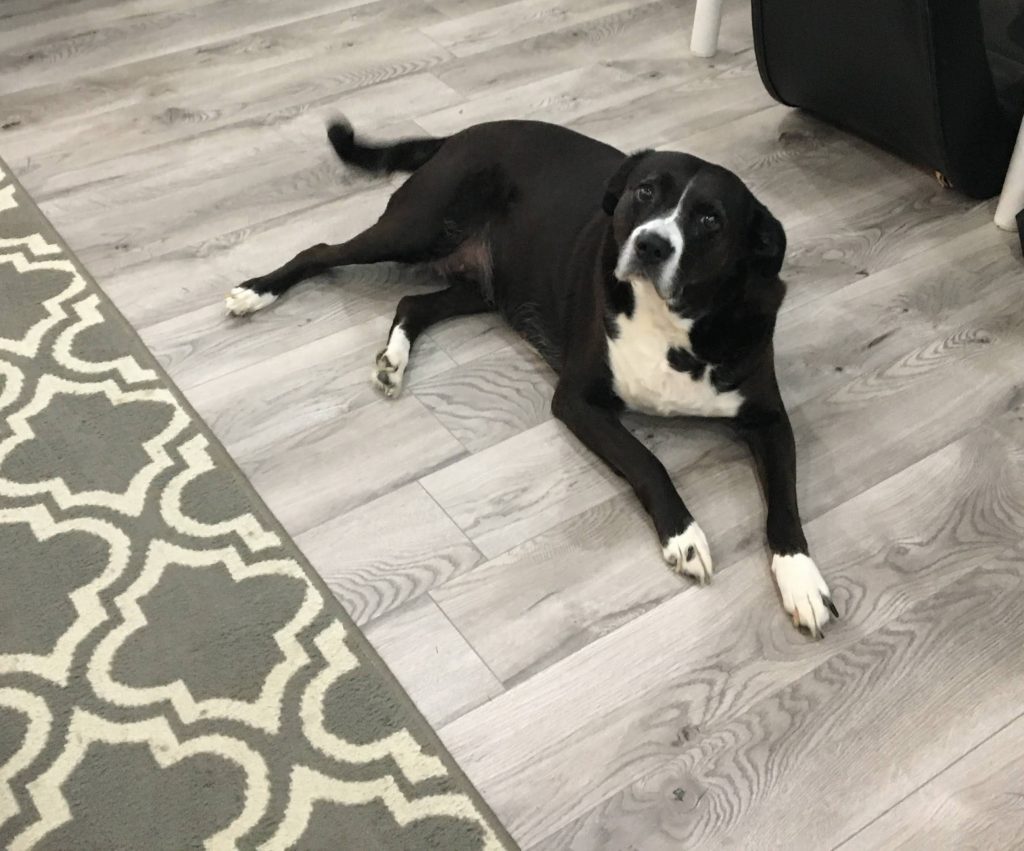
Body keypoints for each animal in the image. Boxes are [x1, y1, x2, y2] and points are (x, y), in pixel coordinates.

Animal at [230, 119, 839, 639]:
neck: (675, 323)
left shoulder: (768, 417)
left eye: (711, 219)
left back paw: (394, 359)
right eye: (645, 192)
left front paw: (801, 578)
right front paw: (684, 536)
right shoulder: (577, 400)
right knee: (322, 251)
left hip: (485, 285)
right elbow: (649, 462)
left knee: (412, 303)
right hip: (414, 229)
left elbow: (785, 501)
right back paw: (256, 291)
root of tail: (464, 132)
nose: (650, 244)